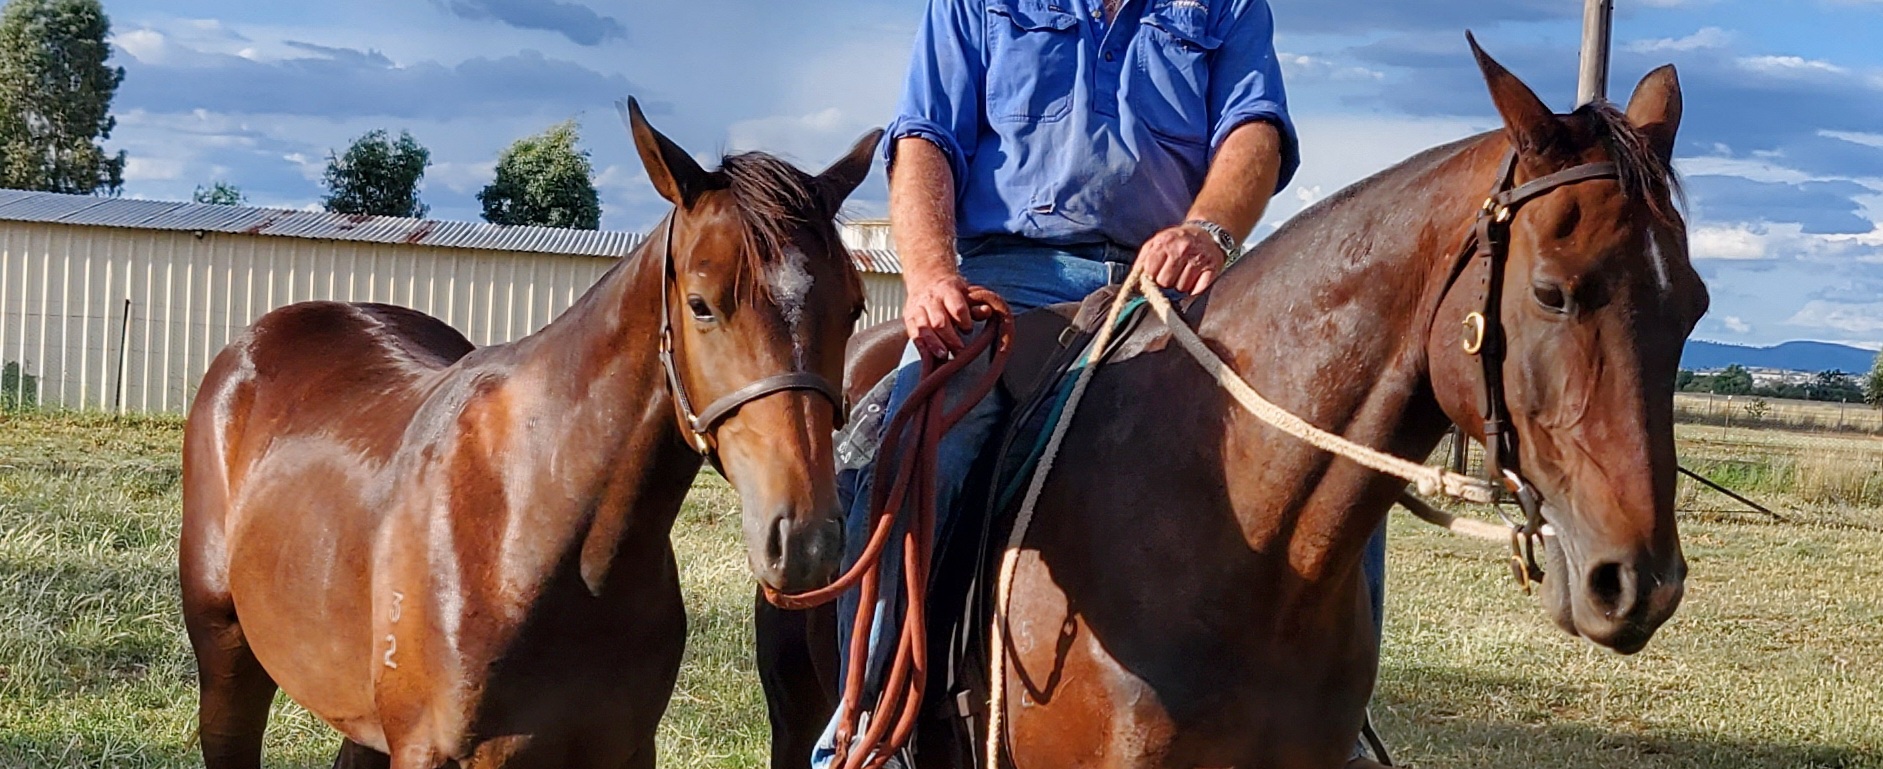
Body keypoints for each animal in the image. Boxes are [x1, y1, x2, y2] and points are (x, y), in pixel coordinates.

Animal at [180, 101, 883, 769]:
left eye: (853, 308)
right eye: (701, 304)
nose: (807, 541)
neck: (533, 528)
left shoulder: (625, 751)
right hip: (228, 663)